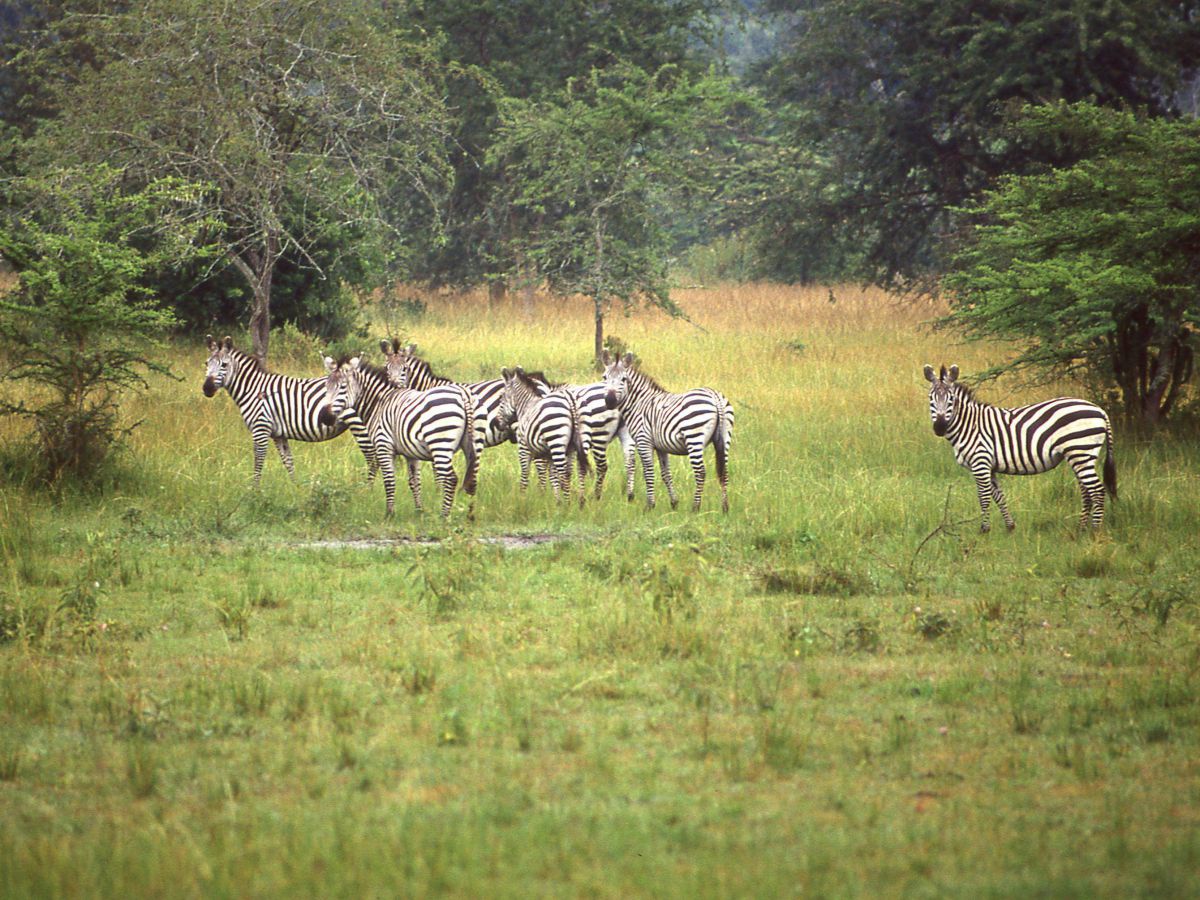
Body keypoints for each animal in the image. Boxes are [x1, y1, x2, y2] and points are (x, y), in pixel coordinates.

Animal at [202, 333, 348, 487]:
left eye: (224, 365)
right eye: (206, 364)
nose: (207, 388)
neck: (253, 389)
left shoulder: (260, 429)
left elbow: (258, 461)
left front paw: (255, 490)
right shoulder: (278, 434)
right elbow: (288, 461)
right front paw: (295, 487)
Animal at [319, 355, 477, 518]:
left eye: (342, 387)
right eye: (326, 387)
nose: (324, 416)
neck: (379, 403)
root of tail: (461, 394)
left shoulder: (384, 446)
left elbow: (389, 481)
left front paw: (389, 513)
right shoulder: (411, 453)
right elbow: (414, 481)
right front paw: (419, 510)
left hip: (440, 444)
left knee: (451, 479)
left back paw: (444, 516)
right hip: (467, 444)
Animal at [496, 367, 590, 508]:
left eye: (501, 398)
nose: (497, 423)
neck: (526, 406)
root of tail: (571, 402)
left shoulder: (524, 447)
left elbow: (525, 475)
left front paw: (522, 500)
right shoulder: (548, 453)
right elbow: (552, 477)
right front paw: (557, 502)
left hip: (557, 442)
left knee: (564, 475)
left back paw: (568, 506)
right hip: (576, 445)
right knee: (576, 471)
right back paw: (579, 502)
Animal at [600, 350, 729, 511]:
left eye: (624, 379)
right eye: (604, 377)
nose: (610, 401)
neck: (639, 403)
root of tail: (714, 396)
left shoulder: (644, 441)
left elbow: (648, 472)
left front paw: (650, 505)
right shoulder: (661, 447)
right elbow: (666, 474)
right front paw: (674, 503)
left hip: (694, 437)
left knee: (700, 472)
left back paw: (695, 508)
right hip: (725, 438)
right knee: (724, 472)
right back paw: (725, 508)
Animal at [921, 364, 1118, 532]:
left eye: (951, 399)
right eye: (931, 399)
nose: (939, 427)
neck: (970, 425)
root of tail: (1100, 410)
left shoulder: (980, 462)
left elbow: (983, 497)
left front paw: (984, 530)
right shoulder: (989, 466)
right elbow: (999, 496)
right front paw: (1010, 527)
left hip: (1081, 451)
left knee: (1097, 491)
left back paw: (1095, 531)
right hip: (1079, 455)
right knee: (1087, 492)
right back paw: (1081, 529)